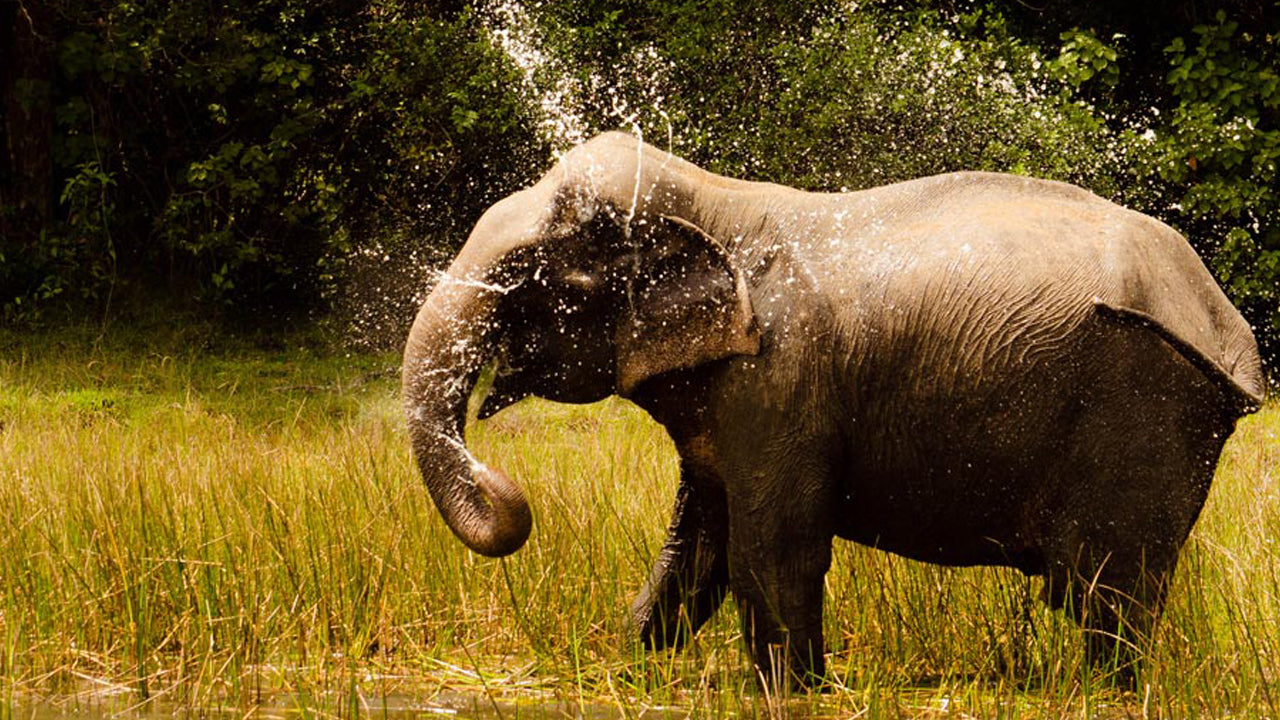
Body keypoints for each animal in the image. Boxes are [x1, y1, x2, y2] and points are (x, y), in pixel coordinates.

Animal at [404, 131, 1264, 686]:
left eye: (545, 279)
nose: (505, 488)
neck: (714, 199)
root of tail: (1229, 328)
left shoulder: (781, 379)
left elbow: (768, 550)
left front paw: (798, 693)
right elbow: (697, 550)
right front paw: (623, 665)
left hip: (1144, 406)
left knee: (1106, 591)